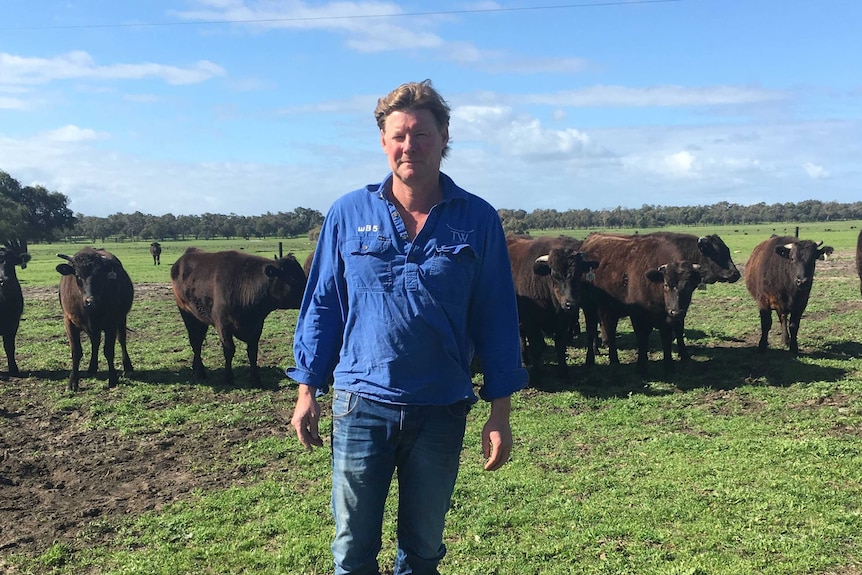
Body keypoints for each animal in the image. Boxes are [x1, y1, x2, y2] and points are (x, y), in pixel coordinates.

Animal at [55, 248, 134, 392]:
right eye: (78, 276)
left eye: (100, 275)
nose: (91, 300)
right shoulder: (69, 322)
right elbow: (76, 352)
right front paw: (72, 382)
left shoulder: (111, 323)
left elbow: (108, 351)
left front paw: (113, 379)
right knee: (95, 342)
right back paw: (92, 368)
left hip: (121, 319)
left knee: (121, 340)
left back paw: (128, 367)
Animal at [170, 248, 308, 388]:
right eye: (295, 279)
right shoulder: (223, 326)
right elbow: (229, 351)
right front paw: (228, 378)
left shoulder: (256, 327)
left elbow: (252, 352)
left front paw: (255, 379)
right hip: (187, 314)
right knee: (195, 342)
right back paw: (200, 373)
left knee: (198, 340)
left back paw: (196, 369)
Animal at [506, 235, 600, 382]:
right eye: (555, 275)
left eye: (579, 273)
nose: (571, 303)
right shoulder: (531, 323)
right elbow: (536, 348)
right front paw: (536, 373)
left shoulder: (563, 322)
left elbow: (560, 346)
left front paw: (564, 373)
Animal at [576, 234, 704, 378]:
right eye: (666, 284)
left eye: (690, 286)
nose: (676, 312)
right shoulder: (638, 316)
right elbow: (642, 339)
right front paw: (641, 367)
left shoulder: (667, 320)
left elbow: (666, 340)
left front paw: (669, 367)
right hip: (589, 306)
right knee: (592, 331)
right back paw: (590, 360)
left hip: (609, 309)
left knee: (610, 331)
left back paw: (614, 361)